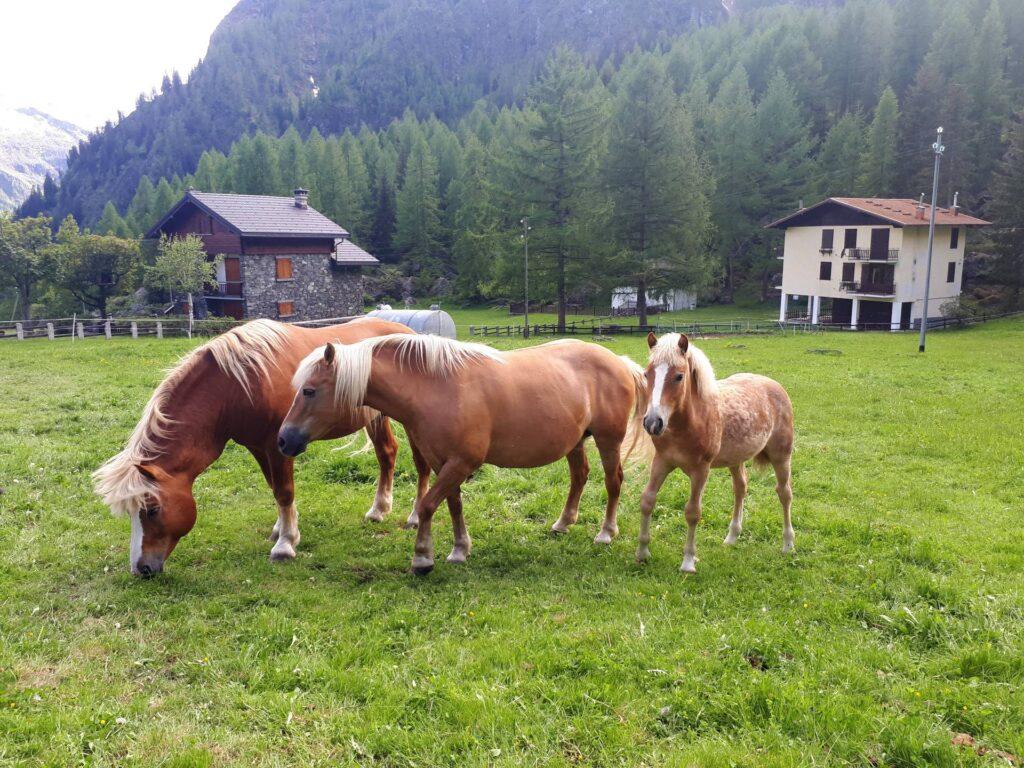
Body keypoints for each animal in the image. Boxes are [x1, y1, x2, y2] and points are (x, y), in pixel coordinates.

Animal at [94, 317, 430, 577]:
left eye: (151, 510)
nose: (141, 569)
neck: (239, 383)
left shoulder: (278, 445)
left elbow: (284, 491)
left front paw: (285, 544)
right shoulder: (258, 447)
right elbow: (274, 489)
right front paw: (281, 529)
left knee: (419, 464)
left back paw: (413, 516)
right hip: (376, 419)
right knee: (387, 454)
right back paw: (378, 510)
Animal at [278, 333, 647, 573]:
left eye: (309, 391)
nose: (283, 439)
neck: (437, 387)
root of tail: (619, 362)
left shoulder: (461, 462)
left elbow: (427, 505)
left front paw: (422, 557)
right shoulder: (445, 462)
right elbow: (453, 506)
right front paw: (459, 550)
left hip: (608, 440)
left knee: (613, 482)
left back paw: (606, 533)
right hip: (575, 442)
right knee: (579, 476)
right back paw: (563, 523)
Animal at [634, 333, 794, 573]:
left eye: (679, 376)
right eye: (647, 374)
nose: (653, 422)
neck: (690, 421)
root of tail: (775, 385)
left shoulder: (701, 470)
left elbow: (693, 512)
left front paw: (688, 561)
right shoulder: (662, 461)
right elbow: (647, 500)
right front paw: (642, 552)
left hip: (781, 456)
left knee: (784, 493)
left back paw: (788, 544)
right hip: (736, 460)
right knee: (740, 488)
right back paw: (732, 537)